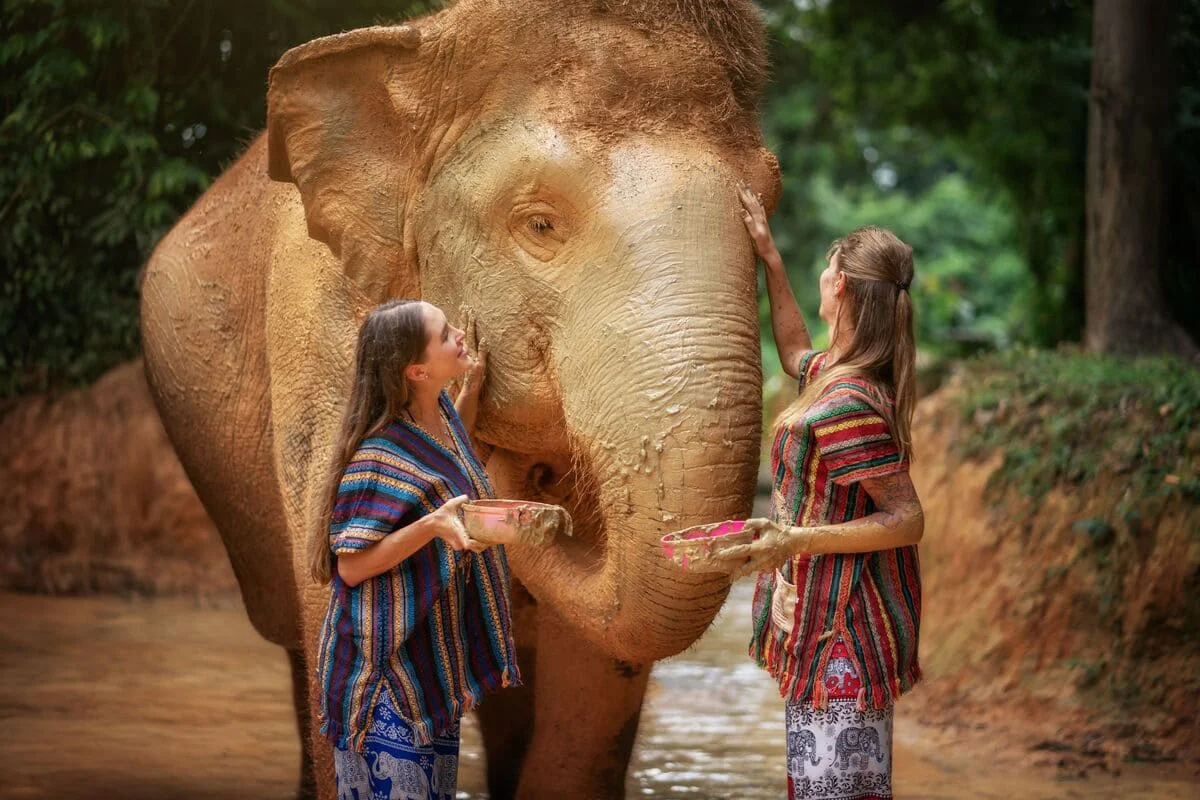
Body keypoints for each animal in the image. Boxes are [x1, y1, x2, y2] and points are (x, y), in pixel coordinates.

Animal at [138, 0, 780, 797]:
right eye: (539, 223)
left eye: (767, 207)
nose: (533, 488)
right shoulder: (318, 322)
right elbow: (334, 582)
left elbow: (599, 669)